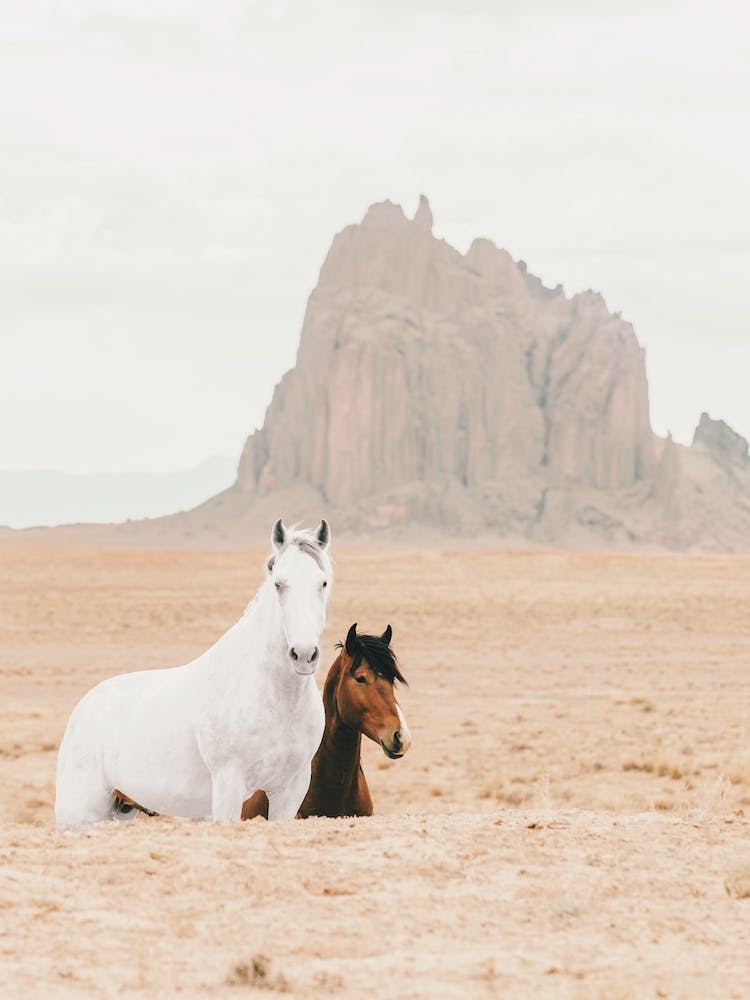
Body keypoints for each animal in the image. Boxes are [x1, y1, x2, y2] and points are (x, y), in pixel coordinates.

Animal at [54, 518, 332, 828]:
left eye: (322, 582)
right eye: (278, 584)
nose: (304, 654)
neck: (275, 697)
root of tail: (81, 710)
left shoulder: (290, 789)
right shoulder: (228, 784)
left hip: (121, 809)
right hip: (79, 814)